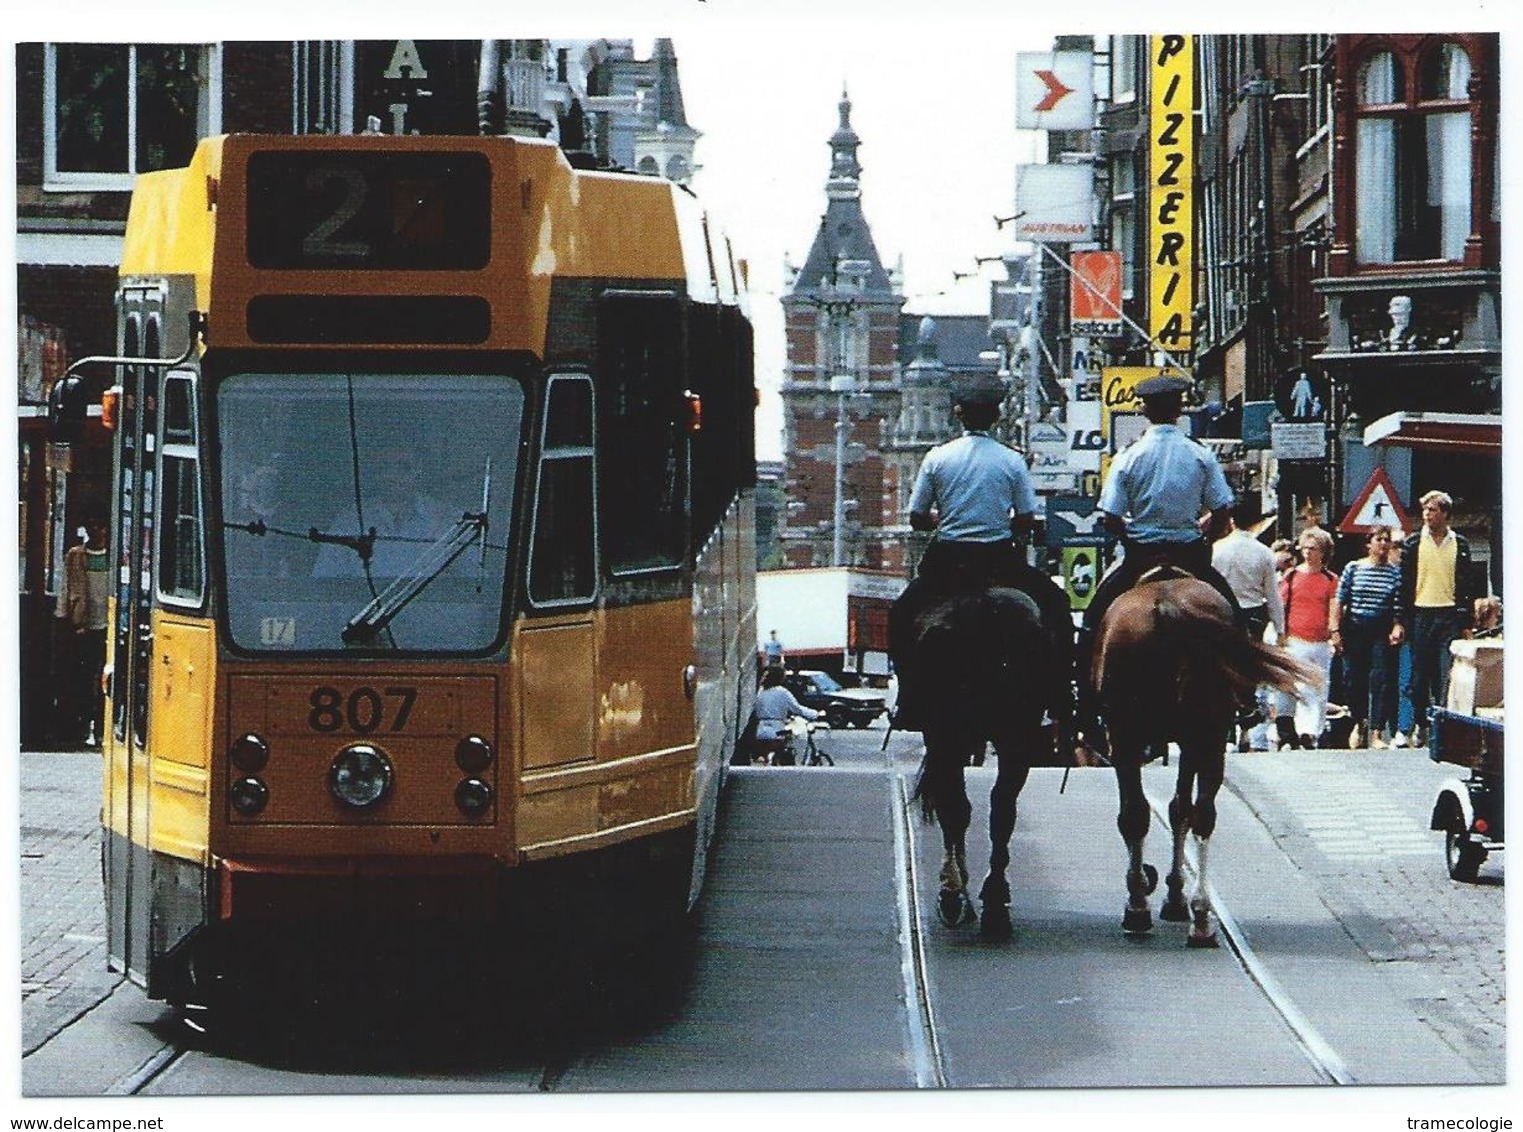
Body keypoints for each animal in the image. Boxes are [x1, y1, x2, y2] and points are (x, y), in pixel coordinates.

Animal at [1090, 566, 1315, 944]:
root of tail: (1166, 604)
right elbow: (1180, 809)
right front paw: (1174, 896)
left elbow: (1168, 810)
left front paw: (1168, 897)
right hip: (1204, 735)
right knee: (1199, 815)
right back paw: (1196, 916)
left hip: (1136, 735)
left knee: (1144, 813)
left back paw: (1147, 908)